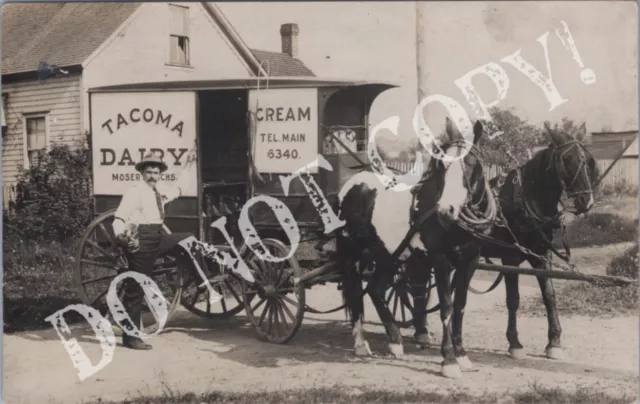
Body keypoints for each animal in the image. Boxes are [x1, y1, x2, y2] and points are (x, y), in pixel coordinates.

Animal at [336, 117, 496, 378]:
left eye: (471, 163)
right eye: (442, 166)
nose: (446, 210)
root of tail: (352, 184)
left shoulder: (470, 260)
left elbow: (460, 305)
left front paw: (462, 355)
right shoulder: (441, 260)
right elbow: (446, 307)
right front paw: (449, 361)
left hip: (387, 255)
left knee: (375, 289)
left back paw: (394, 340)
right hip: (352, 253)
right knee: (355, 291)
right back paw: (360, 343)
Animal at [410, 122, 600, 360]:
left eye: (587, 160)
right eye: (566, 161)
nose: (586, 201)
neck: (526, 200)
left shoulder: (541, 256)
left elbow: (549, 295)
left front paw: (554, 342)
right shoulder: (510, 258)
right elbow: (513, 299)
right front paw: (514, 342)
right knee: (417, 285)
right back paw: (421, 331)